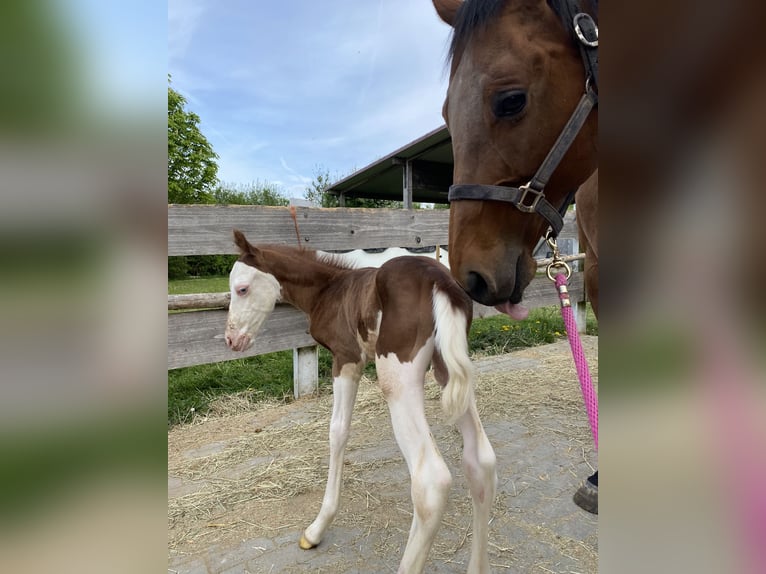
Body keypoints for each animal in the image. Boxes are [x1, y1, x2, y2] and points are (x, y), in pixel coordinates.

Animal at [224, 230, 497, 574]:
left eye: (242, 289)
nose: (232, 340)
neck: (330, 287)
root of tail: (441, 282)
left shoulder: (346, 359)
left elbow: (338, 431)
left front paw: (316, 529)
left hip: (397, 376)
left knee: (431, 482)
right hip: (448, 370)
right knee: (481, 460)